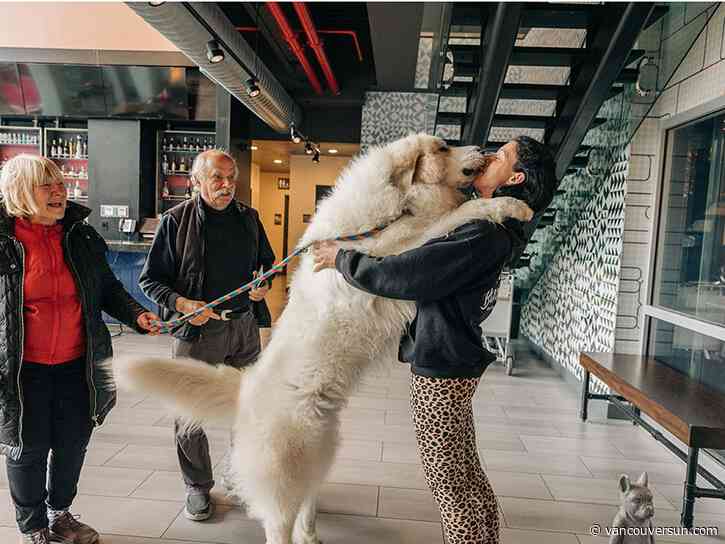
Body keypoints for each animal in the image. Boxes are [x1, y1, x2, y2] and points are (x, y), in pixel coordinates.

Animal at [113, 134, 532, 544]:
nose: (484, 150)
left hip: (319, 451)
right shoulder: (405, 250)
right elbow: (459, 213)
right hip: (287, 470)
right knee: (279, 523)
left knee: (306, 501)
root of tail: (245, 387)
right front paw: (511, 206)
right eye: (443, 147)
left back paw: (312, 534)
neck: (391, 207)